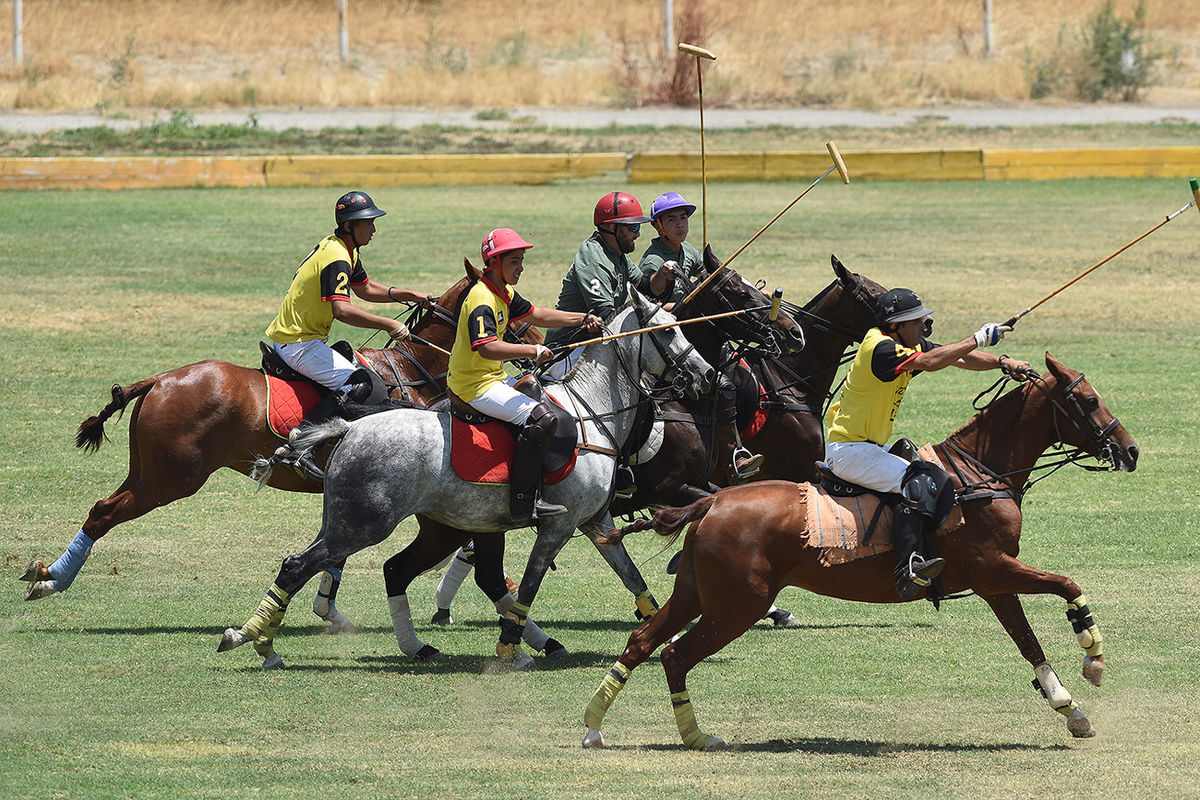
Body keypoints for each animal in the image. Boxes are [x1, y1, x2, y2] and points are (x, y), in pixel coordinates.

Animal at [219, 289, 715, 671]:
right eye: (667, 331)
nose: (707, 374)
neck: (591, 411)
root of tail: (350, 428)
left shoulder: (597, 522)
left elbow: (632, 577)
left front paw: (661, 627)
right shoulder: (559, 524)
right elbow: (529, 585)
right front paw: (509, 648)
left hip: (404, 522)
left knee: (387, 568)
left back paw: (411, 646)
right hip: (364, 522)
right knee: (298, 565)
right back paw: (253, 640)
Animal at [585, 352, 1137, 748]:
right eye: (1088, 400)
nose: (1130, 451)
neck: (979, 474)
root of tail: (714, 501)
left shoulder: (993, 582)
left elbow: (1029, 643)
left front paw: (1071, 709)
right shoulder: (994, 569)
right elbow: (1067, 586)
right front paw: (1092, 657)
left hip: (697, 593)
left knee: (644, 642)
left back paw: (600, 726)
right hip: (738, 604)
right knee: (675, 654)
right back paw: (689, 734)